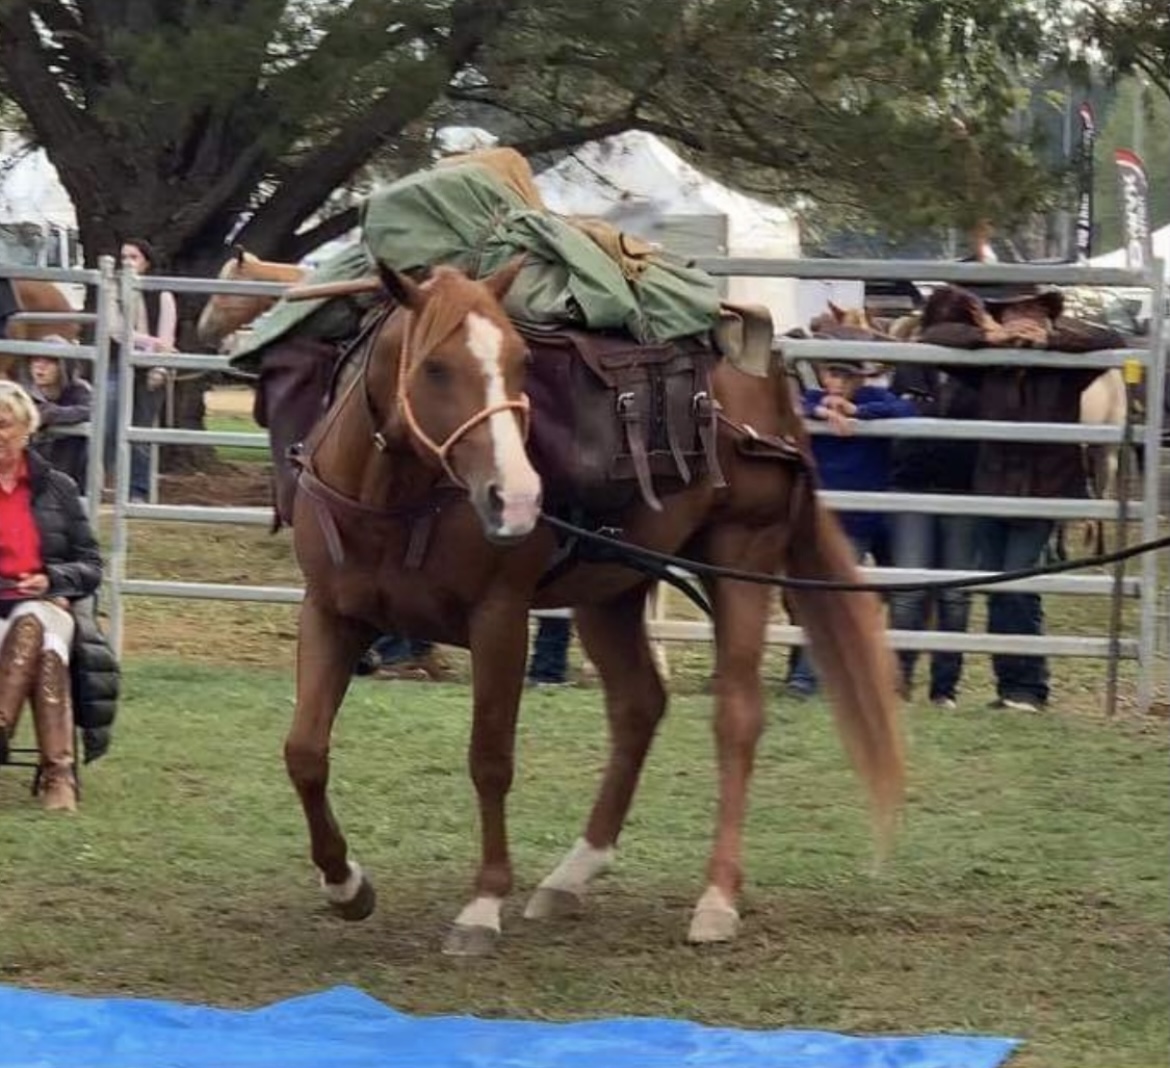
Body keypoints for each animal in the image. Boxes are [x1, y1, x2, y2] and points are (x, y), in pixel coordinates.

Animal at [284, 259, 903, 954]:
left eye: (521, 359)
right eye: (436, 367)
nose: (517, 497)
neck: (392, 500)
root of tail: (766, 372)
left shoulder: (500, 620)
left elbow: (490, 758)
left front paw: (483, 904)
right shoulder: (331, 615)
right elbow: (305, 751)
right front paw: (345, 884)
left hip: (742, 555)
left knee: (737, 718)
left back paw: (716, 898)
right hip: (612, 589)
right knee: (639, 706)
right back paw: (572, 874)